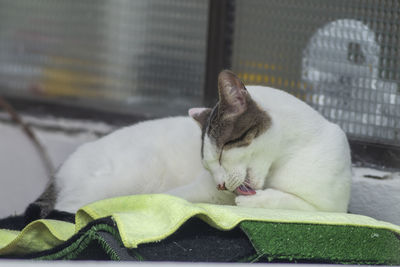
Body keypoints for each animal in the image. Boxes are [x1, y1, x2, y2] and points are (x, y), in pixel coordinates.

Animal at [26, 69, 352, 222]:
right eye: (207, 164)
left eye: (222, 152)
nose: (220, 184)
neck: (283, 162)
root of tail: (62, 169)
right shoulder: (194, 191)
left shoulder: (331, 208)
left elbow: (293, 203)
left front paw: (252, 202)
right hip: (124, 177)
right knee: (72, 209)